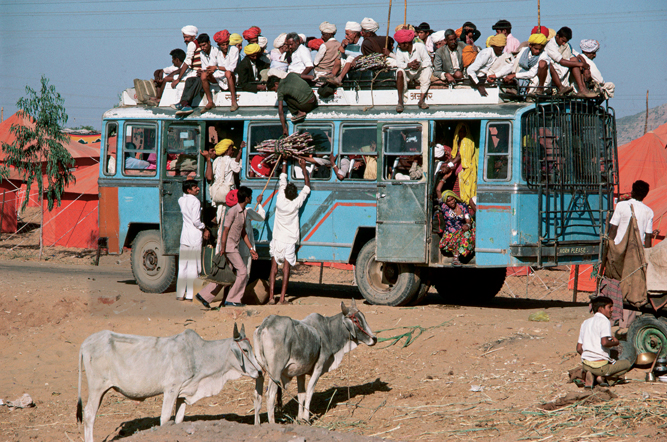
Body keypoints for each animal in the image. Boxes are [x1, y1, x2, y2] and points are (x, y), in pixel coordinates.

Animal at [75, 324, 258, 442]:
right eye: (245, 350)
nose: (259, 372)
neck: (198, 355)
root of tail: (85, 343)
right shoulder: (171, 389)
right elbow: (164, 418)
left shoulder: (182, 394)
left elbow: (178, 419)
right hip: (97, 388)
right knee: (89, 414)